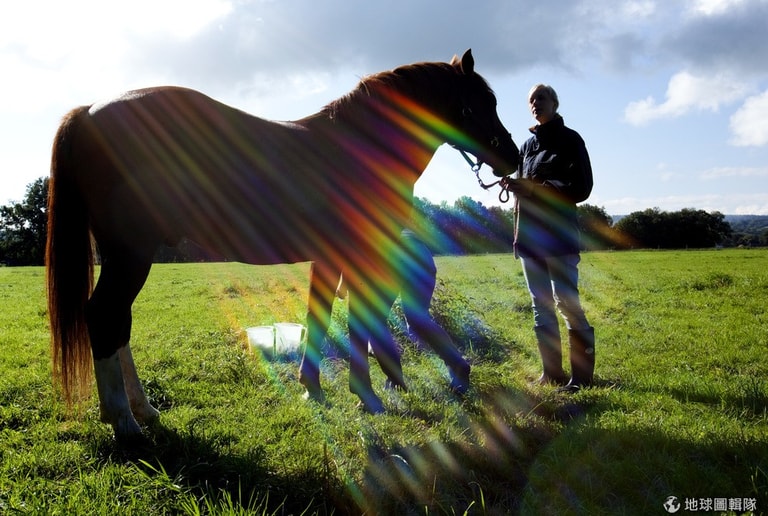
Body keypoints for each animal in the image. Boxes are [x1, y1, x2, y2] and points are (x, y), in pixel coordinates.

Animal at [45, 49, 520, 440]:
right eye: (481, 101)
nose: (512, 157)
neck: (360, 146)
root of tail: (89, 113)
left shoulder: (331, 258)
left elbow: (321, 316)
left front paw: (315, 388)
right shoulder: (359, 254)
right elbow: (358, 322)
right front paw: (367, 396)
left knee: (118, 321)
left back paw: (143, 411)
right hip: (131, 254)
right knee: (105, 316)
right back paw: (125, 422)